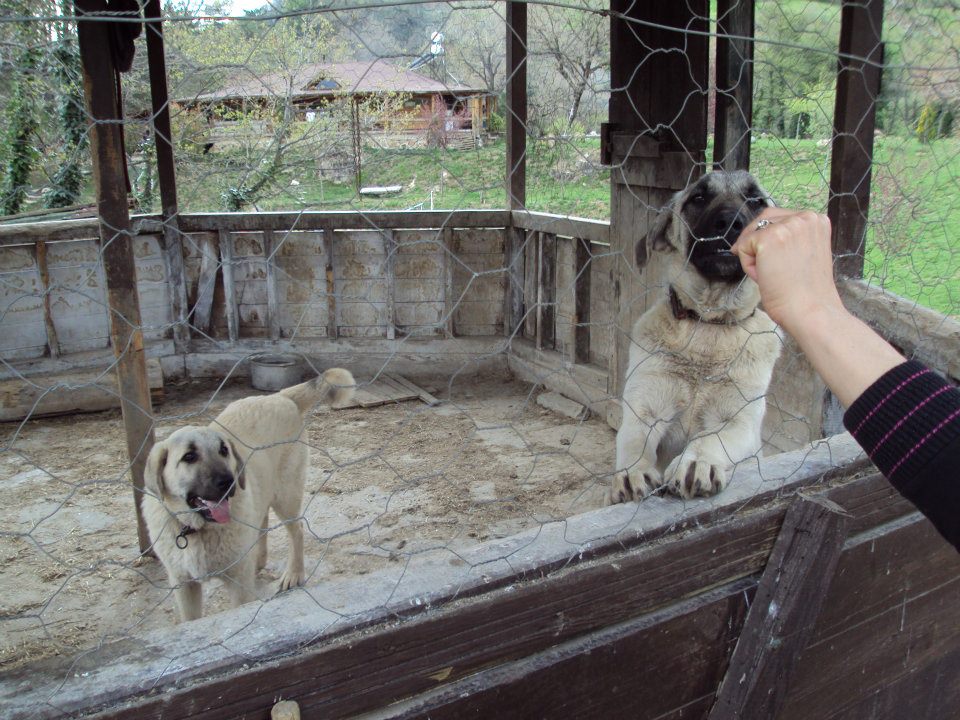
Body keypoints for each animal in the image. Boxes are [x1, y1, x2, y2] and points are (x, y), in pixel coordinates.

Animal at [141, 368, 354, 620]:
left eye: (224, 450)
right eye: (189, 457)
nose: (229, 482)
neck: (197, 531)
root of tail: (280, 396)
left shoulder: (239, 584)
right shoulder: (184, 586)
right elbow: (190, 619)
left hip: (286, 496)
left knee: (297, 530)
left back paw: (294, 573)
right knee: (262, 521)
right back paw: (259, 559)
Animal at [612, 171, 784, 504]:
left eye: (756, 200)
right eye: (699, 197)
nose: (730, 222)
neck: (709, 324)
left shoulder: (740, 421)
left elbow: (711, 438)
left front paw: (695, 463)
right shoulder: (644, 409)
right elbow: (633, 440)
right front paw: (632, 472)